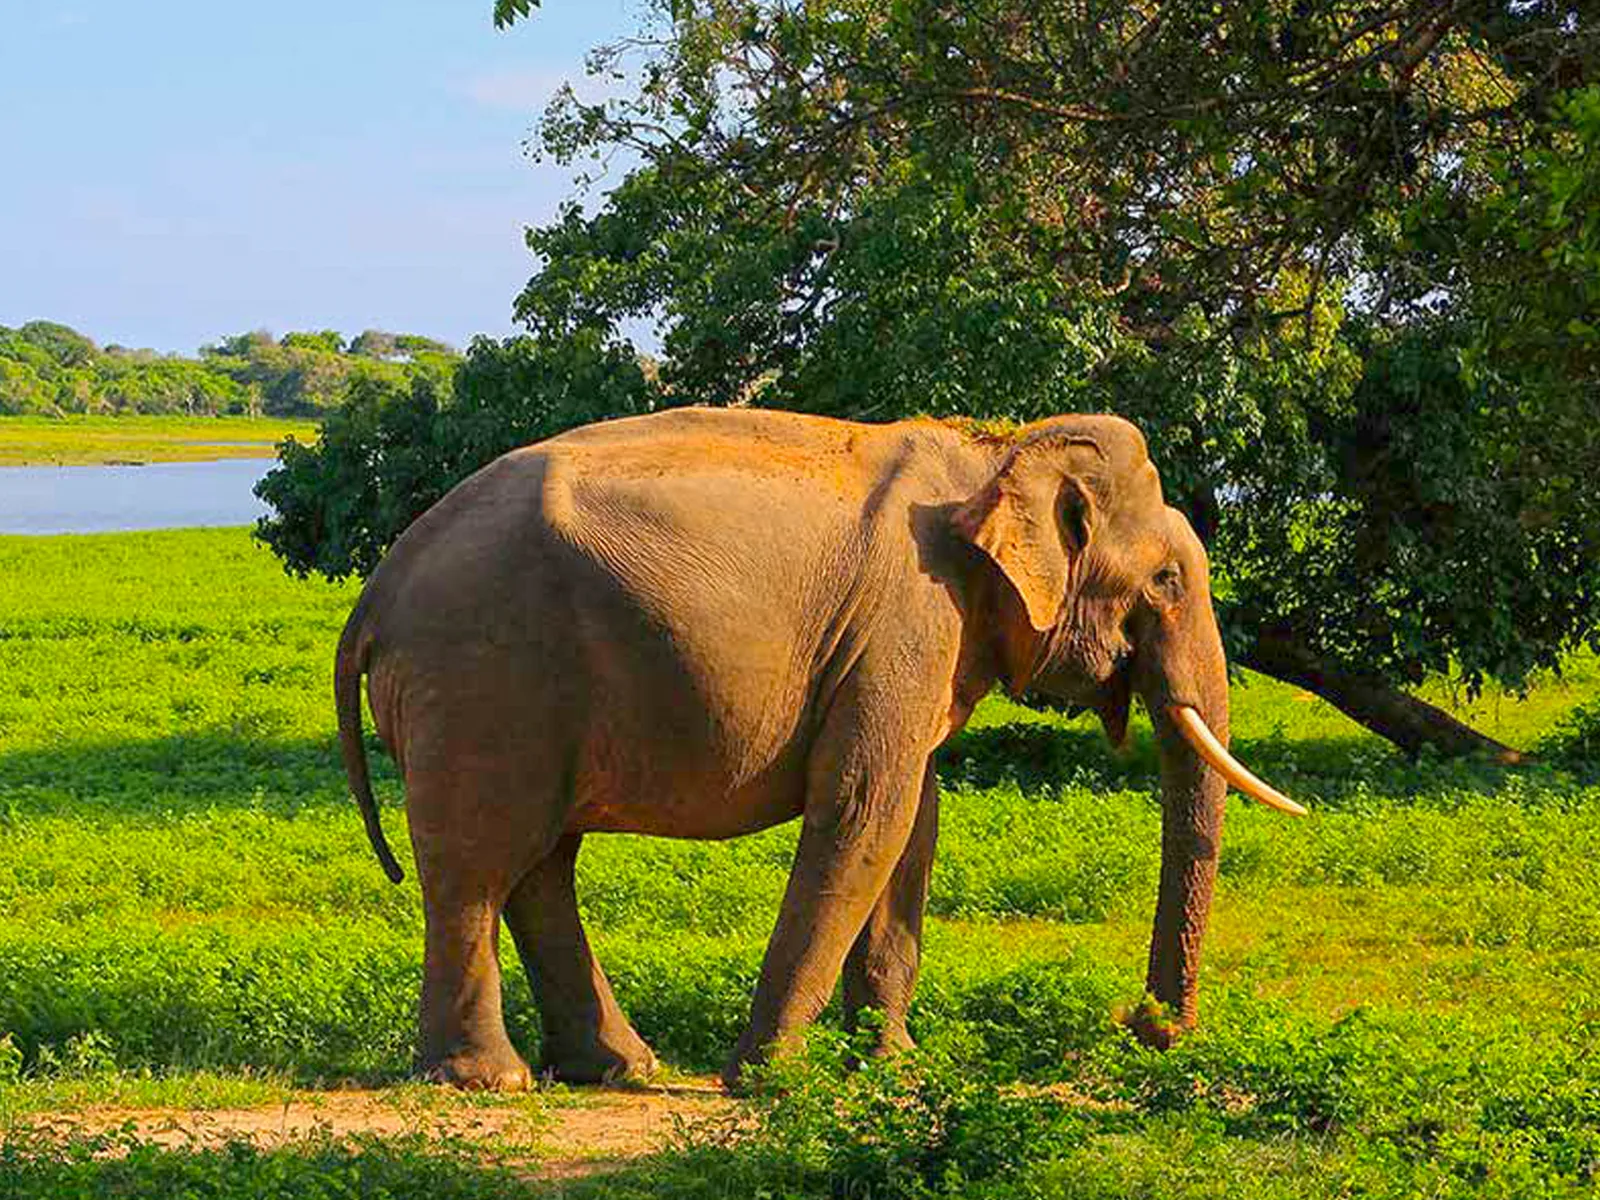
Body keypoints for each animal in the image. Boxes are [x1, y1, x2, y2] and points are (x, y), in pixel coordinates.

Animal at [334, 407, 1303, 1091]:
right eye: (1167, 580)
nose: (1145, 1029)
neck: (996, 451)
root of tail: (379, 589)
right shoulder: (909, 618)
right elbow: (866, 809)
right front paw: (774, 1080)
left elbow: (913, 818)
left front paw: (892, 1064)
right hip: (482, 681)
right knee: (478, 867)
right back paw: (489, 1080)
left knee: (541, 865)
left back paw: (617, 1069)